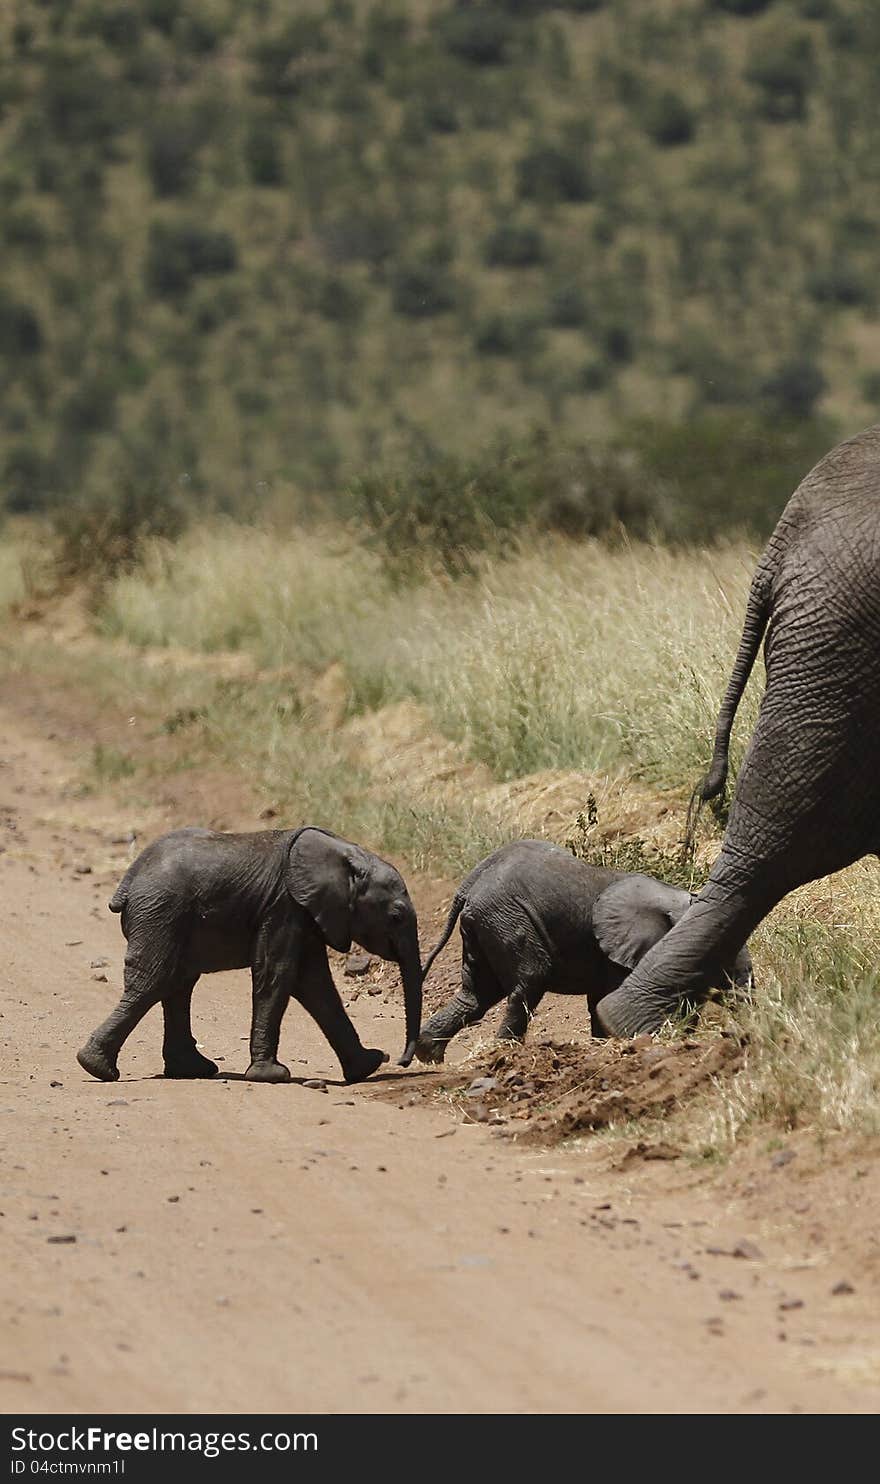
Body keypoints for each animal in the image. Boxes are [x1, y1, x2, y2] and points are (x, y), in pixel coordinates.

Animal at [77, 831, 421, 1086]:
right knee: (154, 981)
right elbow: (278, 973)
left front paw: (368, 1066)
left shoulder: (308, 914)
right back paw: (96, 1068)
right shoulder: (284, 906)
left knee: (177, 984)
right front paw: (271, 1076)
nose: (401, 1060)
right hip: (161, 913)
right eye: (395, 916)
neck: (344, 854)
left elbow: (315, 985)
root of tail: (129, 880)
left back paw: (191, 1070)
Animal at [415, 842, 750, 1062]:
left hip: (484, 925)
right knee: (530, 980)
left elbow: (599, 999)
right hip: (504, 918)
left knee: (477, 994)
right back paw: (503, 1055)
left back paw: (429, 1054)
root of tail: (469, 884)